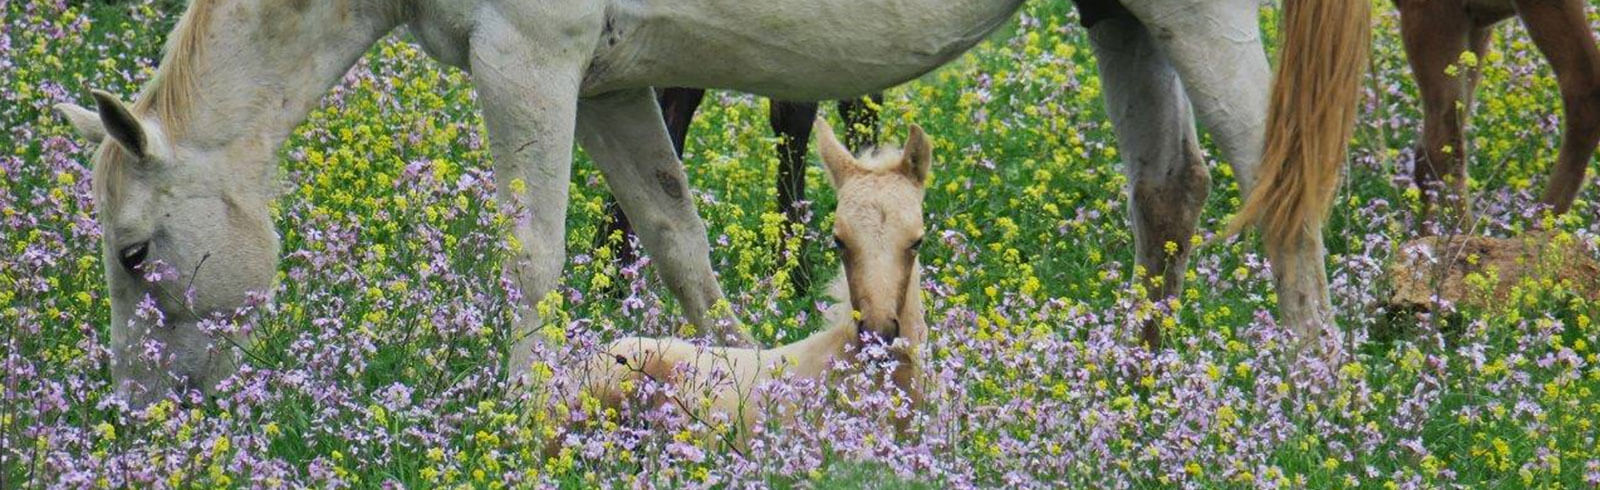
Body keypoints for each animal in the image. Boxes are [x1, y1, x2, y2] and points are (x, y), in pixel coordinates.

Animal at [56, 0, 1369, 408]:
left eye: (135, 255)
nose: (139, 412)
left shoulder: (528, 66)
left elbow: (531, 262)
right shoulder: (610, 87)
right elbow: (675, 239)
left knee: (1276, 184)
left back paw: (1315, 396)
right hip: (1118, 14)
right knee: (1169, 194)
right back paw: (1140, 395)